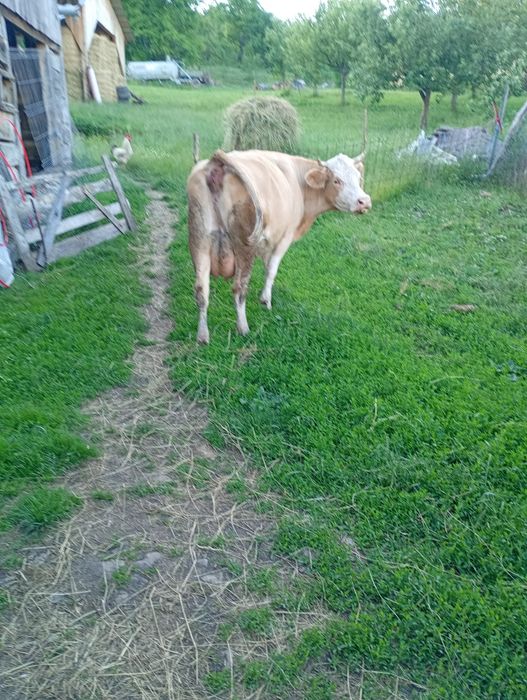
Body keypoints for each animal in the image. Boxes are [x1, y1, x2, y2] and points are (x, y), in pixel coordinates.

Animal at [187, 149, 371, 344]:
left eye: (358, 177)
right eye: (337, 180)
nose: (364, 201)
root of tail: (217, 162)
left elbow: (267, 267)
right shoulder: (284, 237)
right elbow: (271, 270)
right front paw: (265, 300)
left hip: (199, 240)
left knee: (201, 290)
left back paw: (202, 335)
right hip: (243, 246)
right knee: (239, 288)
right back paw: (243, 328)